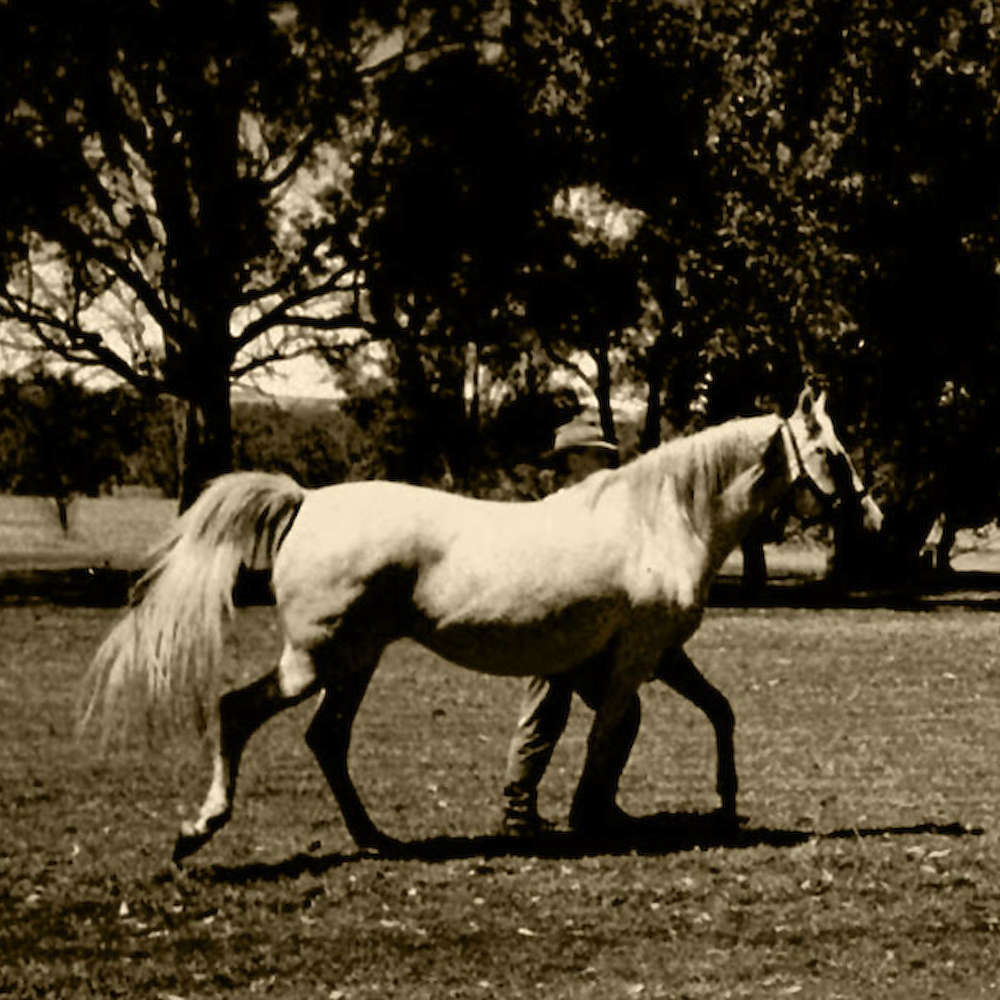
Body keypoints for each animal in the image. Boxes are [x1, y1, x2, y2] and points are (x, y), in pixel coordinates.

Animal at [81, 385, 882, 861]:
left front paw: (721, 799)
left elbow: (712, 713)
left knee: (326, 740)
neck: (663, 518)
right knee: (237, 710)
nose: (872, 519)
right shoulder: (636, 659)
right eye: (834, 454)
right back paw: (199, 829)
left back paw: (374, 837)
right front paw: (592, 818)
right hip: (314, 661)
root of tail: (307, 499)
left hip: (354, 663)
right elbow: (608, 737)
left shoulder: (648, 658)